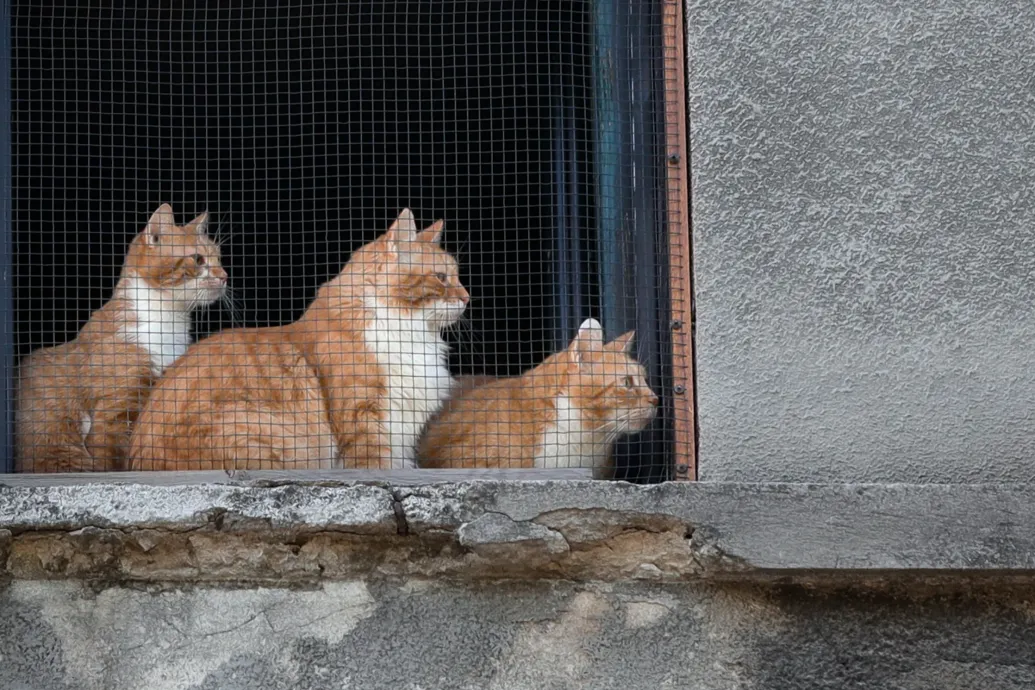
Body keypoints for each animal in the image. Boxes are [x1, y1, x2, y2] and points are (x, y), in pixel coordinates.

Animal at [16, 204, 227, 471]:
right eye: (198, 259)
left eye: (219, 258)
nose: (225, 276)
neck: (168, 323)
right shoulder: (114, 409)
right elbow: (112, 460)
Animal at [129, 207, 469, 471]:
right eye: (442, 278)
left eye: (457, 276)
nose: (467, 297)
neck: (411, 332)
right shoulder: (366, 418)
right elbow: (375, 467)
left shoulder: (400, 430)